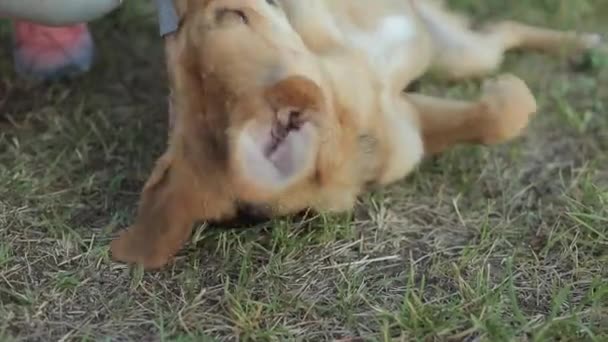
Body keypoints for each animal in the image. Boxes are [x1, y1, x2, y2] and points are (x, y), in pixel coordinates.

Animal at [108, 0, 600, 268]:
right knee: (499, 36)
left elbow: (494, 118)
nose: (167, 16)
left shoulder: (400, 113)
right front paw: (512, 93)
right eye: (237, 15)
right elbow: (500, 115)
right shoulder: (408, 120)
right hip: (465, 57)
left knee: (506, 29)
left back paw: (580, 42)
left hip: (463, 53)